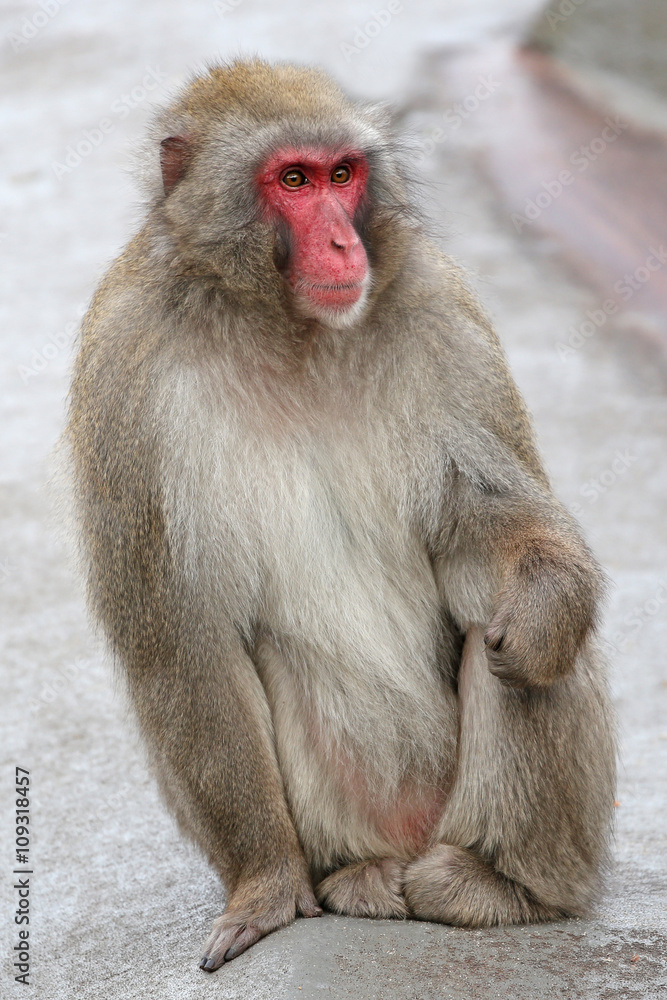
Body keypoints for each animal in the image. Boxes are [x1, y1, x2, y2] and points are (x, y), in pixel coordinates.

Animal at [64, 59, 616, 972]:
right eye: (291, 181)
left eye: (342, 176)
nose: (341, 246)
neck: (287, 330)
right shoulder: (124, 368)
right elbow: (181, 639)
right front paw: (265, 884)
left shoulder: (439, 309)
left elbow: (486, 523)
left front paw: (547, 601)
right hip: (349, 813)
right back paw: (349, 876)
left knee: (499, 634)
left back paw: (504, 885)